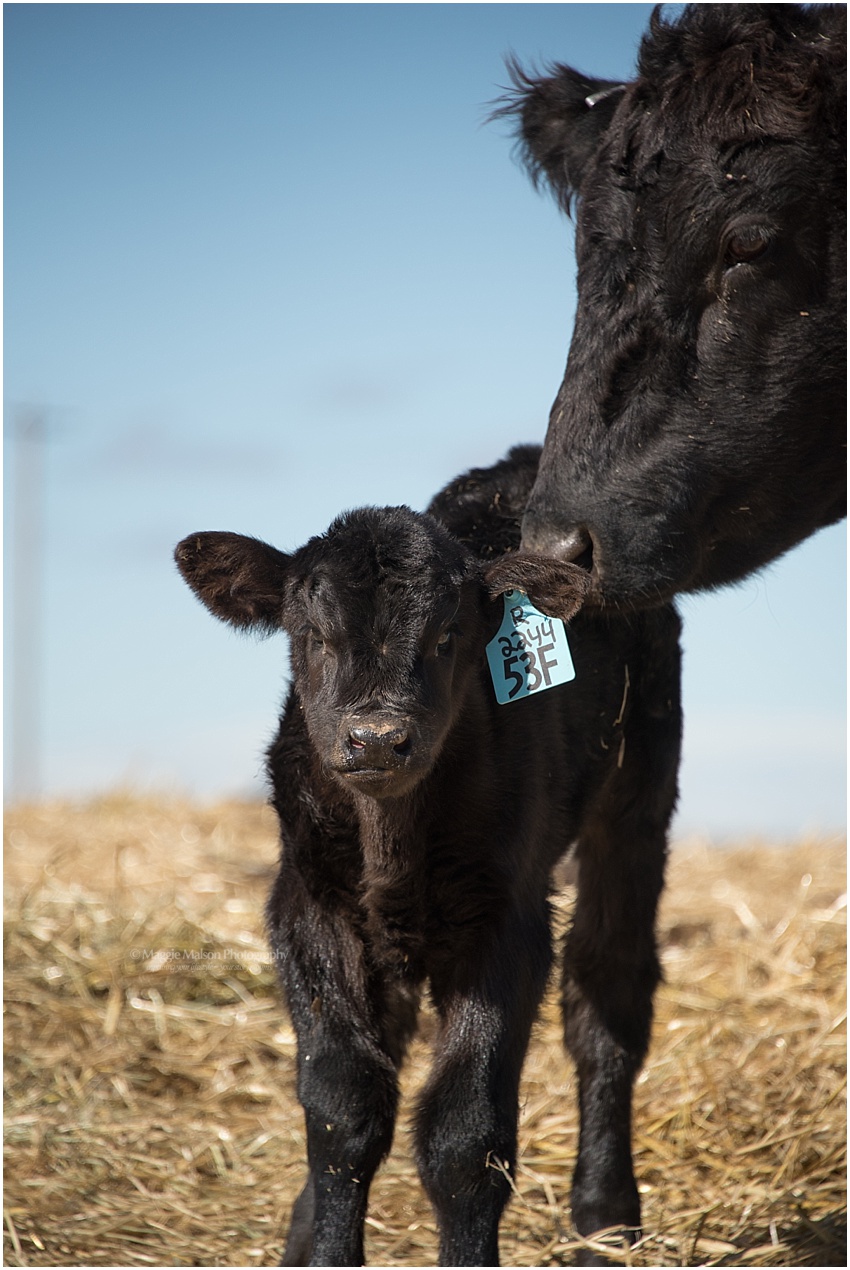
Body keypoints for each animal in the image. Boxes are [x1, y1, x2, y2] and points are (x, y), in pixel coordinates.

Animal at [174, 445, 682, 1265]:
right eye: (313, 637)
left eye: (448, 638)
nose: (377, 739)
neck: (391, 841)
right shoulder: (308, 907)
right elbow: (341, 1108)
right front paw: (322, 1245)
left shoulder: (507, 922)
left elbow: (463, 1136)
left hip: (639, 788)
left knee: (607, 998)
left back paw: (607, 1224)